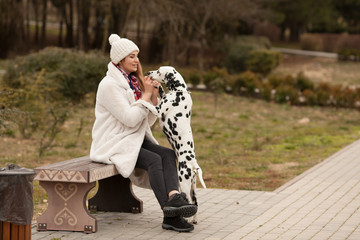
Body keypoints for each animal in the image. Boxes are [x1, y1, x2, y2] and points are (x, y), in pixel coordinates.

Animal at [148, 65, 207, 223]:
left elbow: (145, 103)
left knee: (189, 201)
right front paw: (157, 86)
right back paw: (193, 220)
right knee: (195, 202)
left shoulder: (157, 110)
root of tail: (193, 163)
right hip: (192, 186)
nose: (149, 72)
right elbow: (160, 92)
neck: (178, 92)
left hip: (183, 182)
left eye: (159, 71)